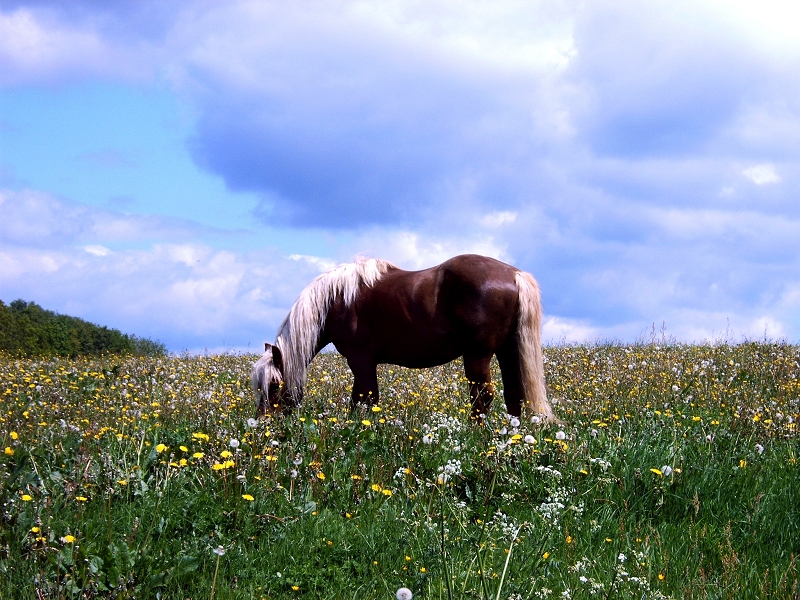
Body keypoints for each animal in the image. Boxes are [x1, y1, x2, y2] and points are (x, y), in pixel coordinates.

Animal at [253, 255, 552, 420]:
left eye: (275, 385)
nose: (263, 425)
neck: (336, 299)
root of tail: (514, 274)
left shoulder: (360, 360)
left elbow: (365, 399)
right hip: (507, 351)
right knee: (513, 394)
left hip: (478, 356)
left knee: (482, 397)